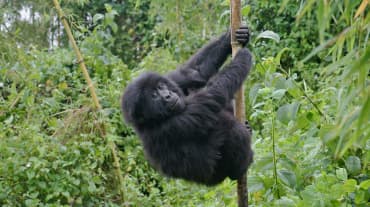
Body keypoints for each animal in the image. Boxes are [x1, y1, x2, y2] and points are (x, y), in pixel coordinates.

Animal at [121, 26, 254, 186]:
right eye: (154, 96)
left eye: (161, 87)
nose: (167, 95)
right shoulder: (170, 126)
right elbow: (212, 95)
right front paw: (243, 57)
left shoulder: (172, 79)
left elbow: (196, 71)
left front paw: (234, 36)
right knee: (232, 130)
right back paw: (242, 167)